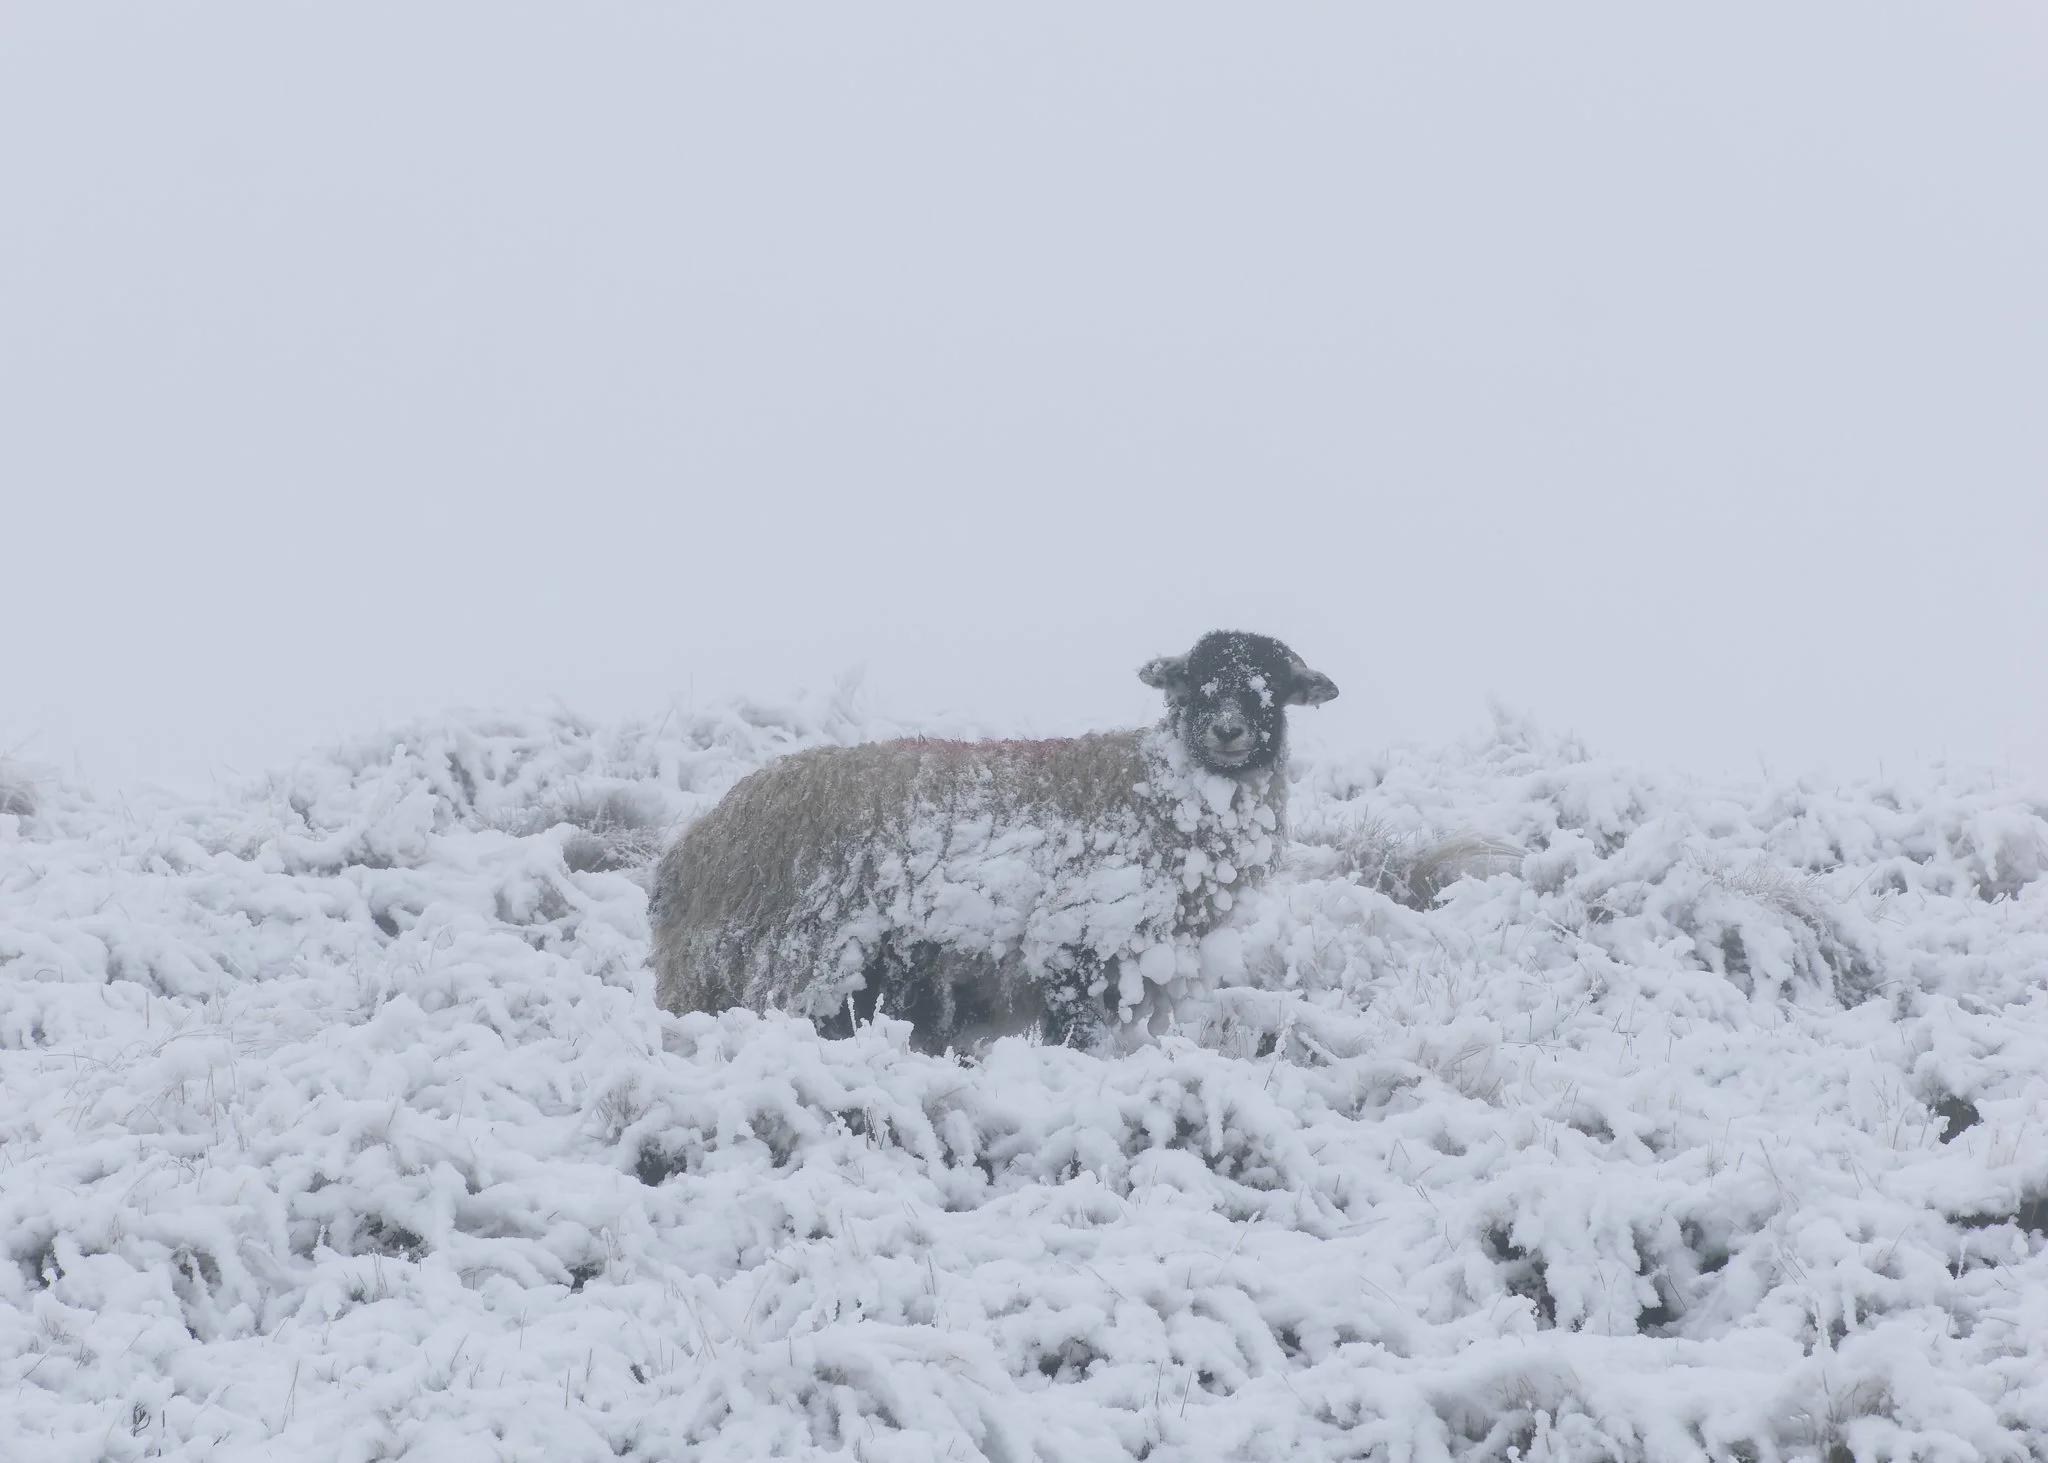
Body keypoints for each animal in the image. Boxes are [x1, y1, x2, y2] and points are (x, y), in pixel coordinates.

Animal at [650, 631, 1338, 1052]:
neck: (1157, 789)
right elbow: (1079, 1038)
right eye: (1195, 679)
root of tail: (693, 851)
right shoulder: (1075, 942)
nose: (1228, 731)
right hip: (782, 963)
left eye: (1272, 683)